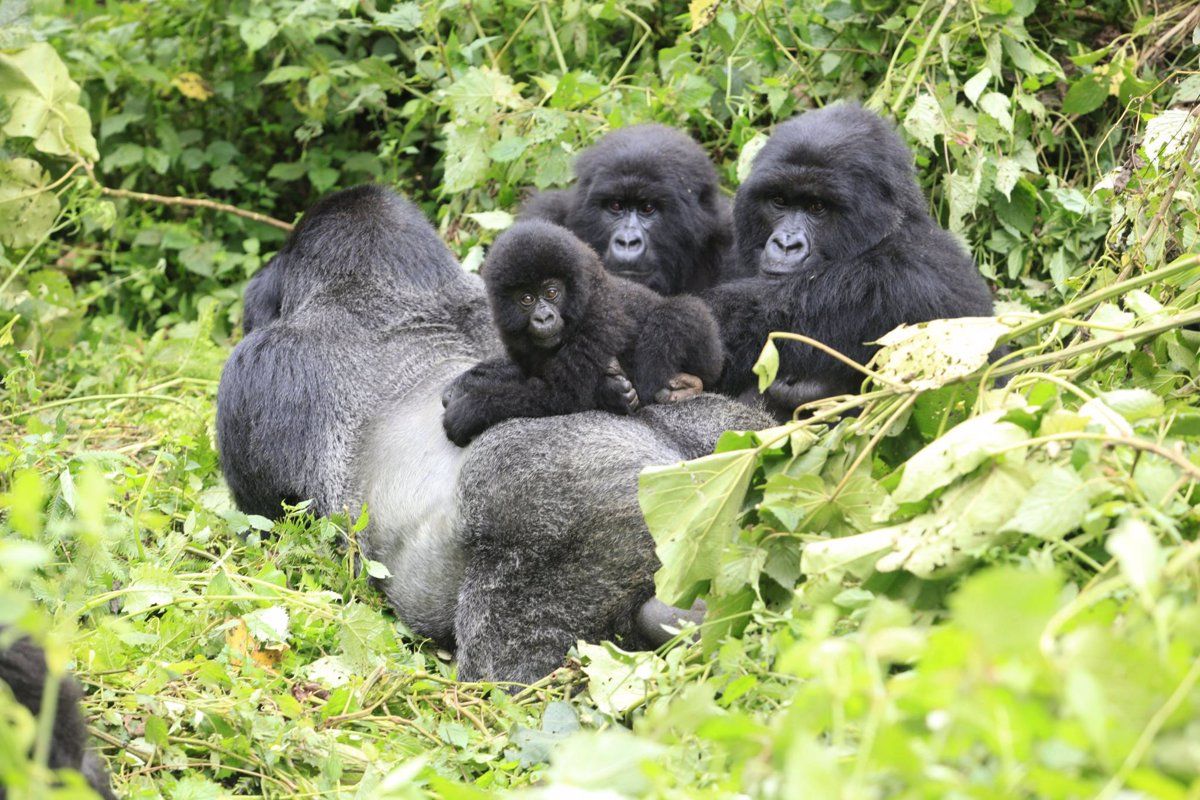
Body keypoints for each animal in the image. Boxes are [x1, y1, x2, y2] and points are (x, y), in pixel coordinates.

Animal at [441, 221, 720, 448]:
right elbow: (525, 372)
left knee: (678, 313)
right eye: (527, 299)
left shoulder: (597, 320)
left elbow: (562, 395)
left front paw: (469, 410)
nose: (544, 317)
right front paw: (466, 382)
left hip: (708, 348)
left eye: (551, 292)